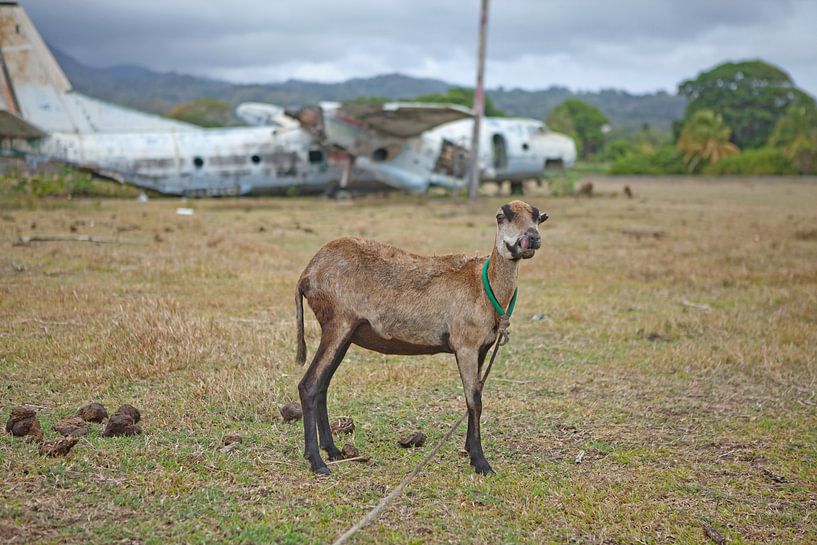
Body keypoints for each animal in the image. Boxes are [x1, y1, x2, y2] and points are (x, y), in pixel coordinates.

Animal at [294, 200, 548, 472]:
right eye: (502, 216)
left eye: (538, 217)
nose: (531, 238)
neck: (484, 286)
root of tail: (307, 275)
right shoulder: (465, 344)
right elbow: (474, 401)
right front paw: (481, 463)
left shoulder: (481, 348)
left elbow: (474, 396)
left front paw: (470, 450)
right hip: (337, 323)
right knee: (309, 385)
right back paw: (317, 461)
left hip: (345, 334)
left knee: (322, 386)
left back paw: (332, 451)